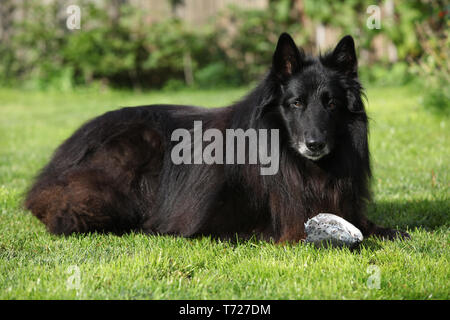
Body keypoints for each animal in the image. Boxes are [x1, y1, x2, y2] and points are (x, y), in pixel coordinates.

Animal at [25, 33, 412, 242]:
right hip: (136, 146)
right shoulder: (218, 222)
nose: (315, 144)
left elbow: (377, 227)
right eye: (296, 103)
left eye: (330, 103)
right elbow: (280, 229)